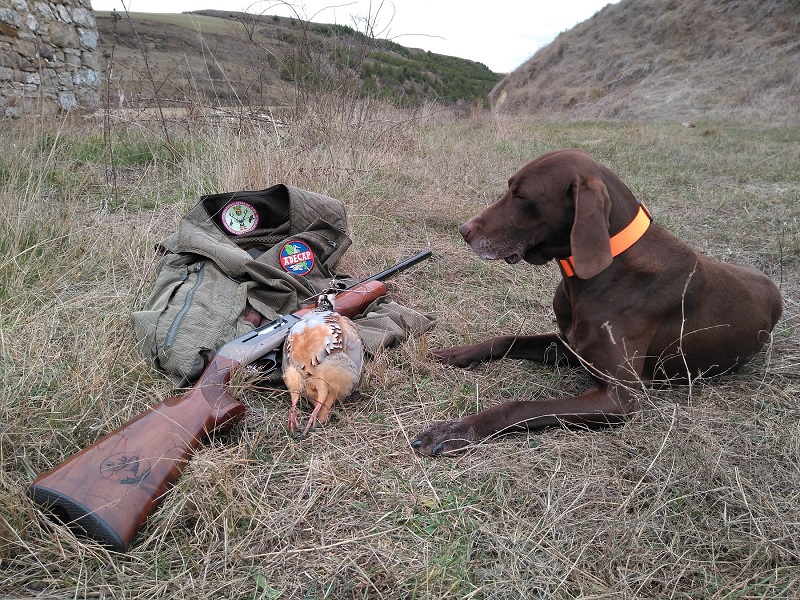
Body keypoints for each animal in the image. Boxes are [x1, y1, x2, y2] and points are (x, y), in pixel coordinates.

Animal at [412, 149, 780, 454]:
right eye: (509, 188)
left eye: (522, 195)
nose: (464, 230)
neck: (602, 271)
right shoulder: (569, 344)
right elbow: (504, 339)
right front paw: (455, 353)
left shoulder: (618, 398)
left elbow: (522, 406)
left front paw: (456, 430)